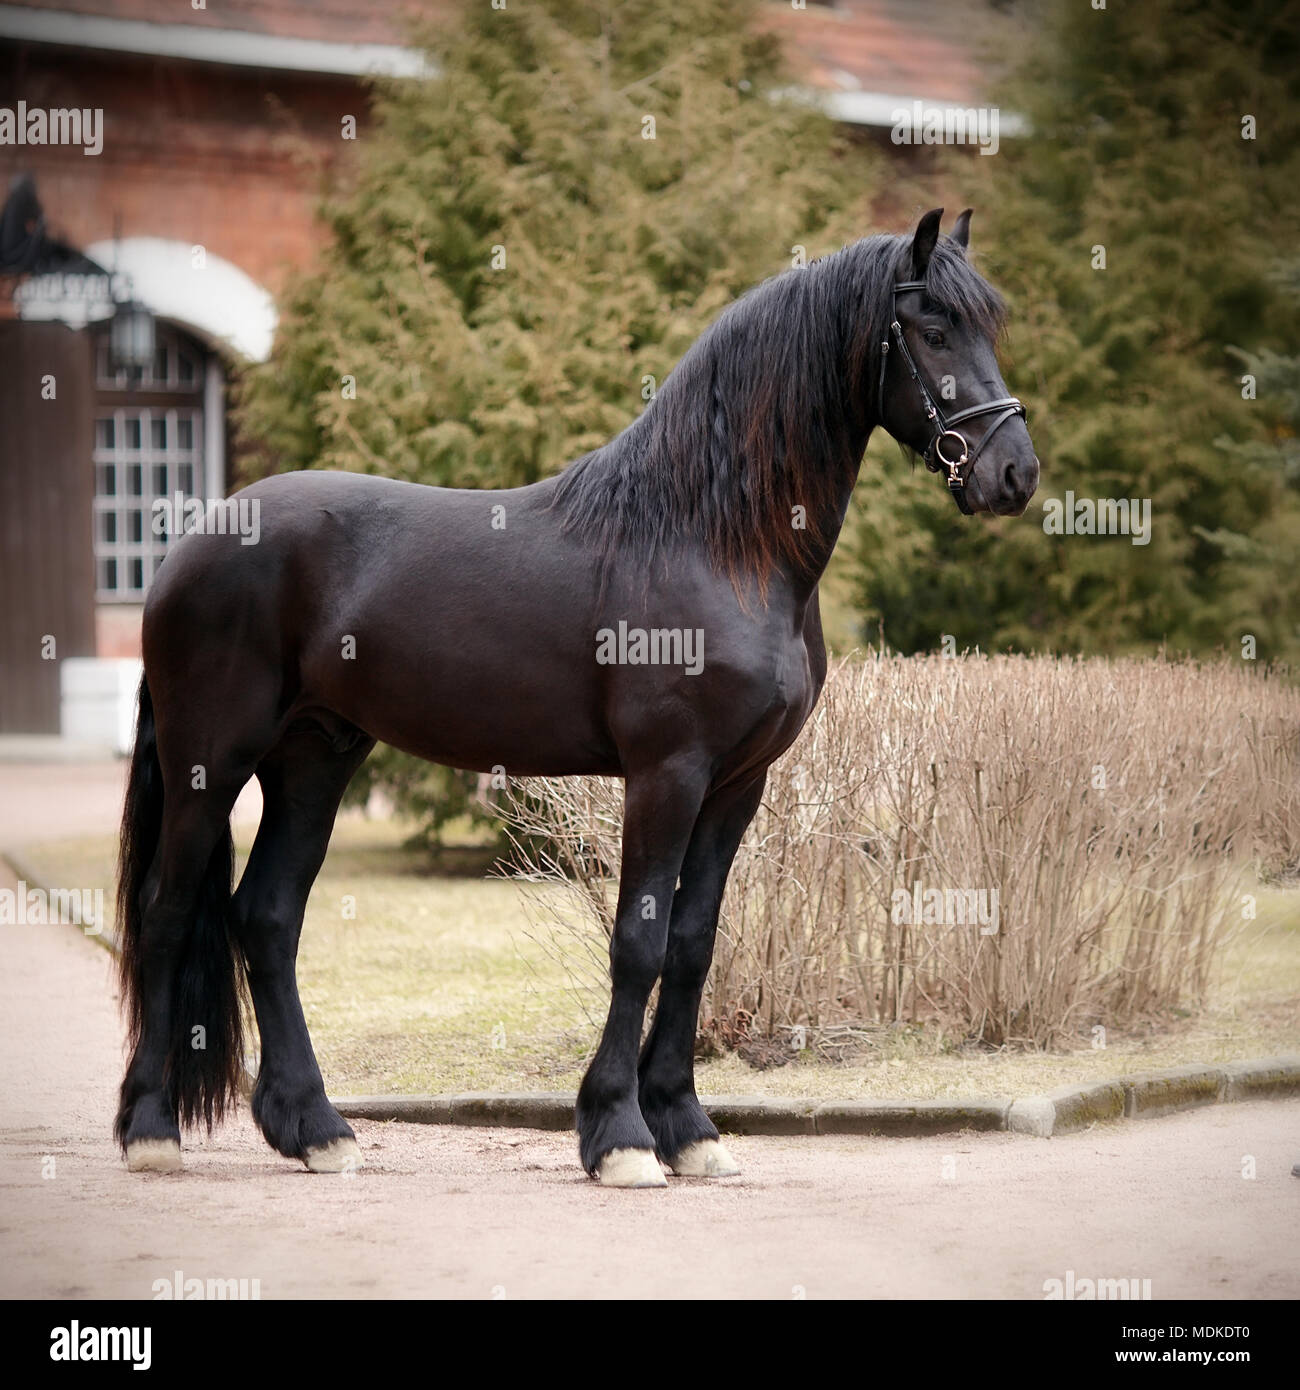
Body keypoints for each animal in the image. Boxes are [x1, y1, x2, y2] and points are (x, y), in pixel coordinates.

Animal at [116, 211, 1040, 1189]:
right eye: (933, 329)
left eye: (988, 326)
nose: (1015, 473)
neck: (712, 539)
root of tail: (190, 544)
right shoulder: (667, 774)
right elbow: (638, 942)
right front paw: (622, 1136)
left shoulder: (736, 784)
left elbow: (694, 943)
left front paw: (689, 1128)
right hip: (212, 760)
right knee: (168, 912)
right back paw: (151, 1130)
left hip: (314, 758)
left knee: (266, 917)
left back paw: (316, 1129)